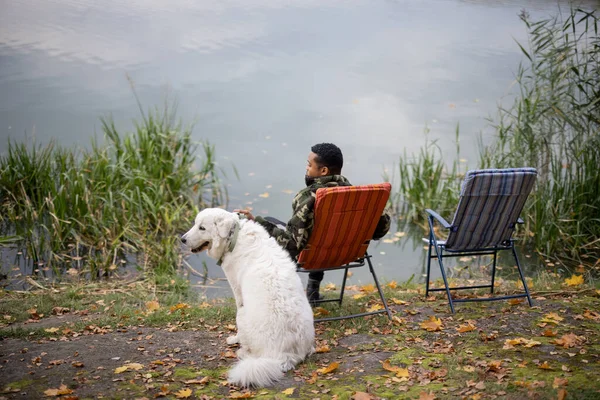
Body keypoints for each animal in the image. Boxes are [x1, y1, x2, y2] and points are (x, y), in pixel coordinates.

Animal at [182, 208, 314, 386]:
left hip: (242, 316)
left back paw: (242, 352)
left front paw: (234, 338)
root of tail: (284, 356)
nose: (182, 239)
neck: (234, 237)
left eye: (202, 228)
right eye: (195, 224)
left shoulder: (238, 293)